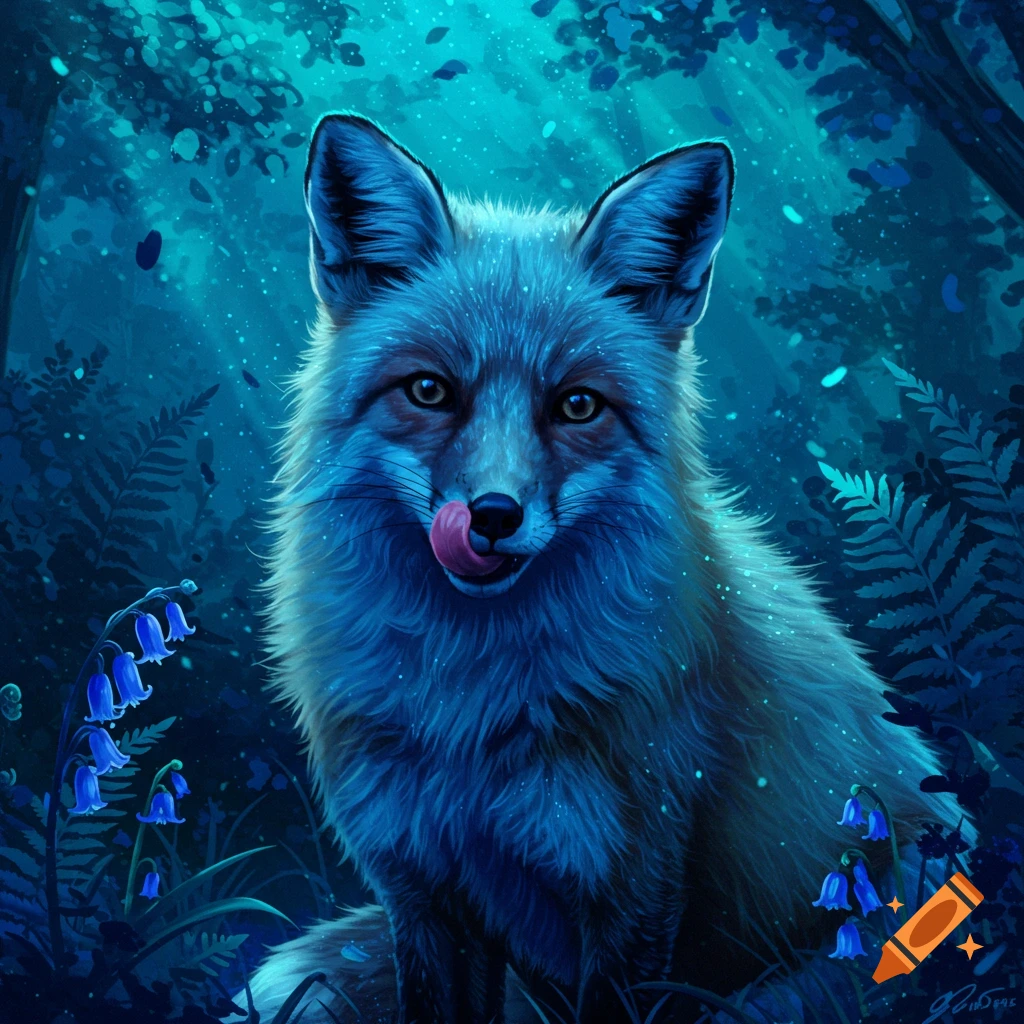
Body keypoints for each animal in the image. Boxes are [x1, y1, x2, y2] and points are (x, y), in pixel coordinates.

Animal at [250, 113, 965, 1024]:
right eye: (429, 391)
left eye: (577, 405)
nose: (491, 517)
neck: (468, 704)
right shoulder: (421, 884)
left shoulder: (633, 878)